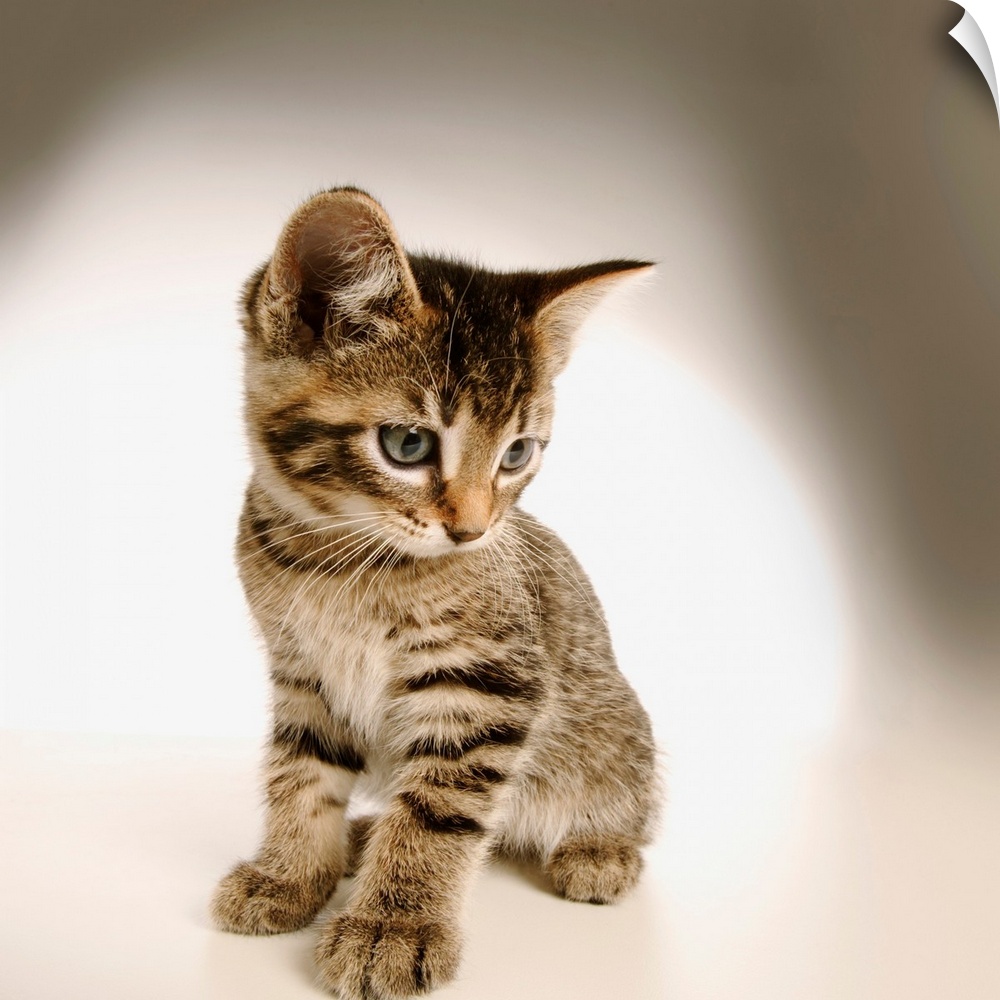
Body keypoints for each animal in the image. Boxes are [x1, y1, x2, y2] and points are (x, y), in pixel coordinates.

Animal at [211, 187, 660, 999]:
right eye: (408, 444)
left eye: (517, 454)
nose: (473, 530)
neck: (337, 561)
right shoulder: (304, 673)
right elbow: (301, 775)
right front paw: (291, 876)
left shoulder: (487, 680)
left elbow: (438, 810)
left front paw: (394, 926)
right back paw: (362, 835)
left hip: (611, 728)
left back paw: (600, 850)